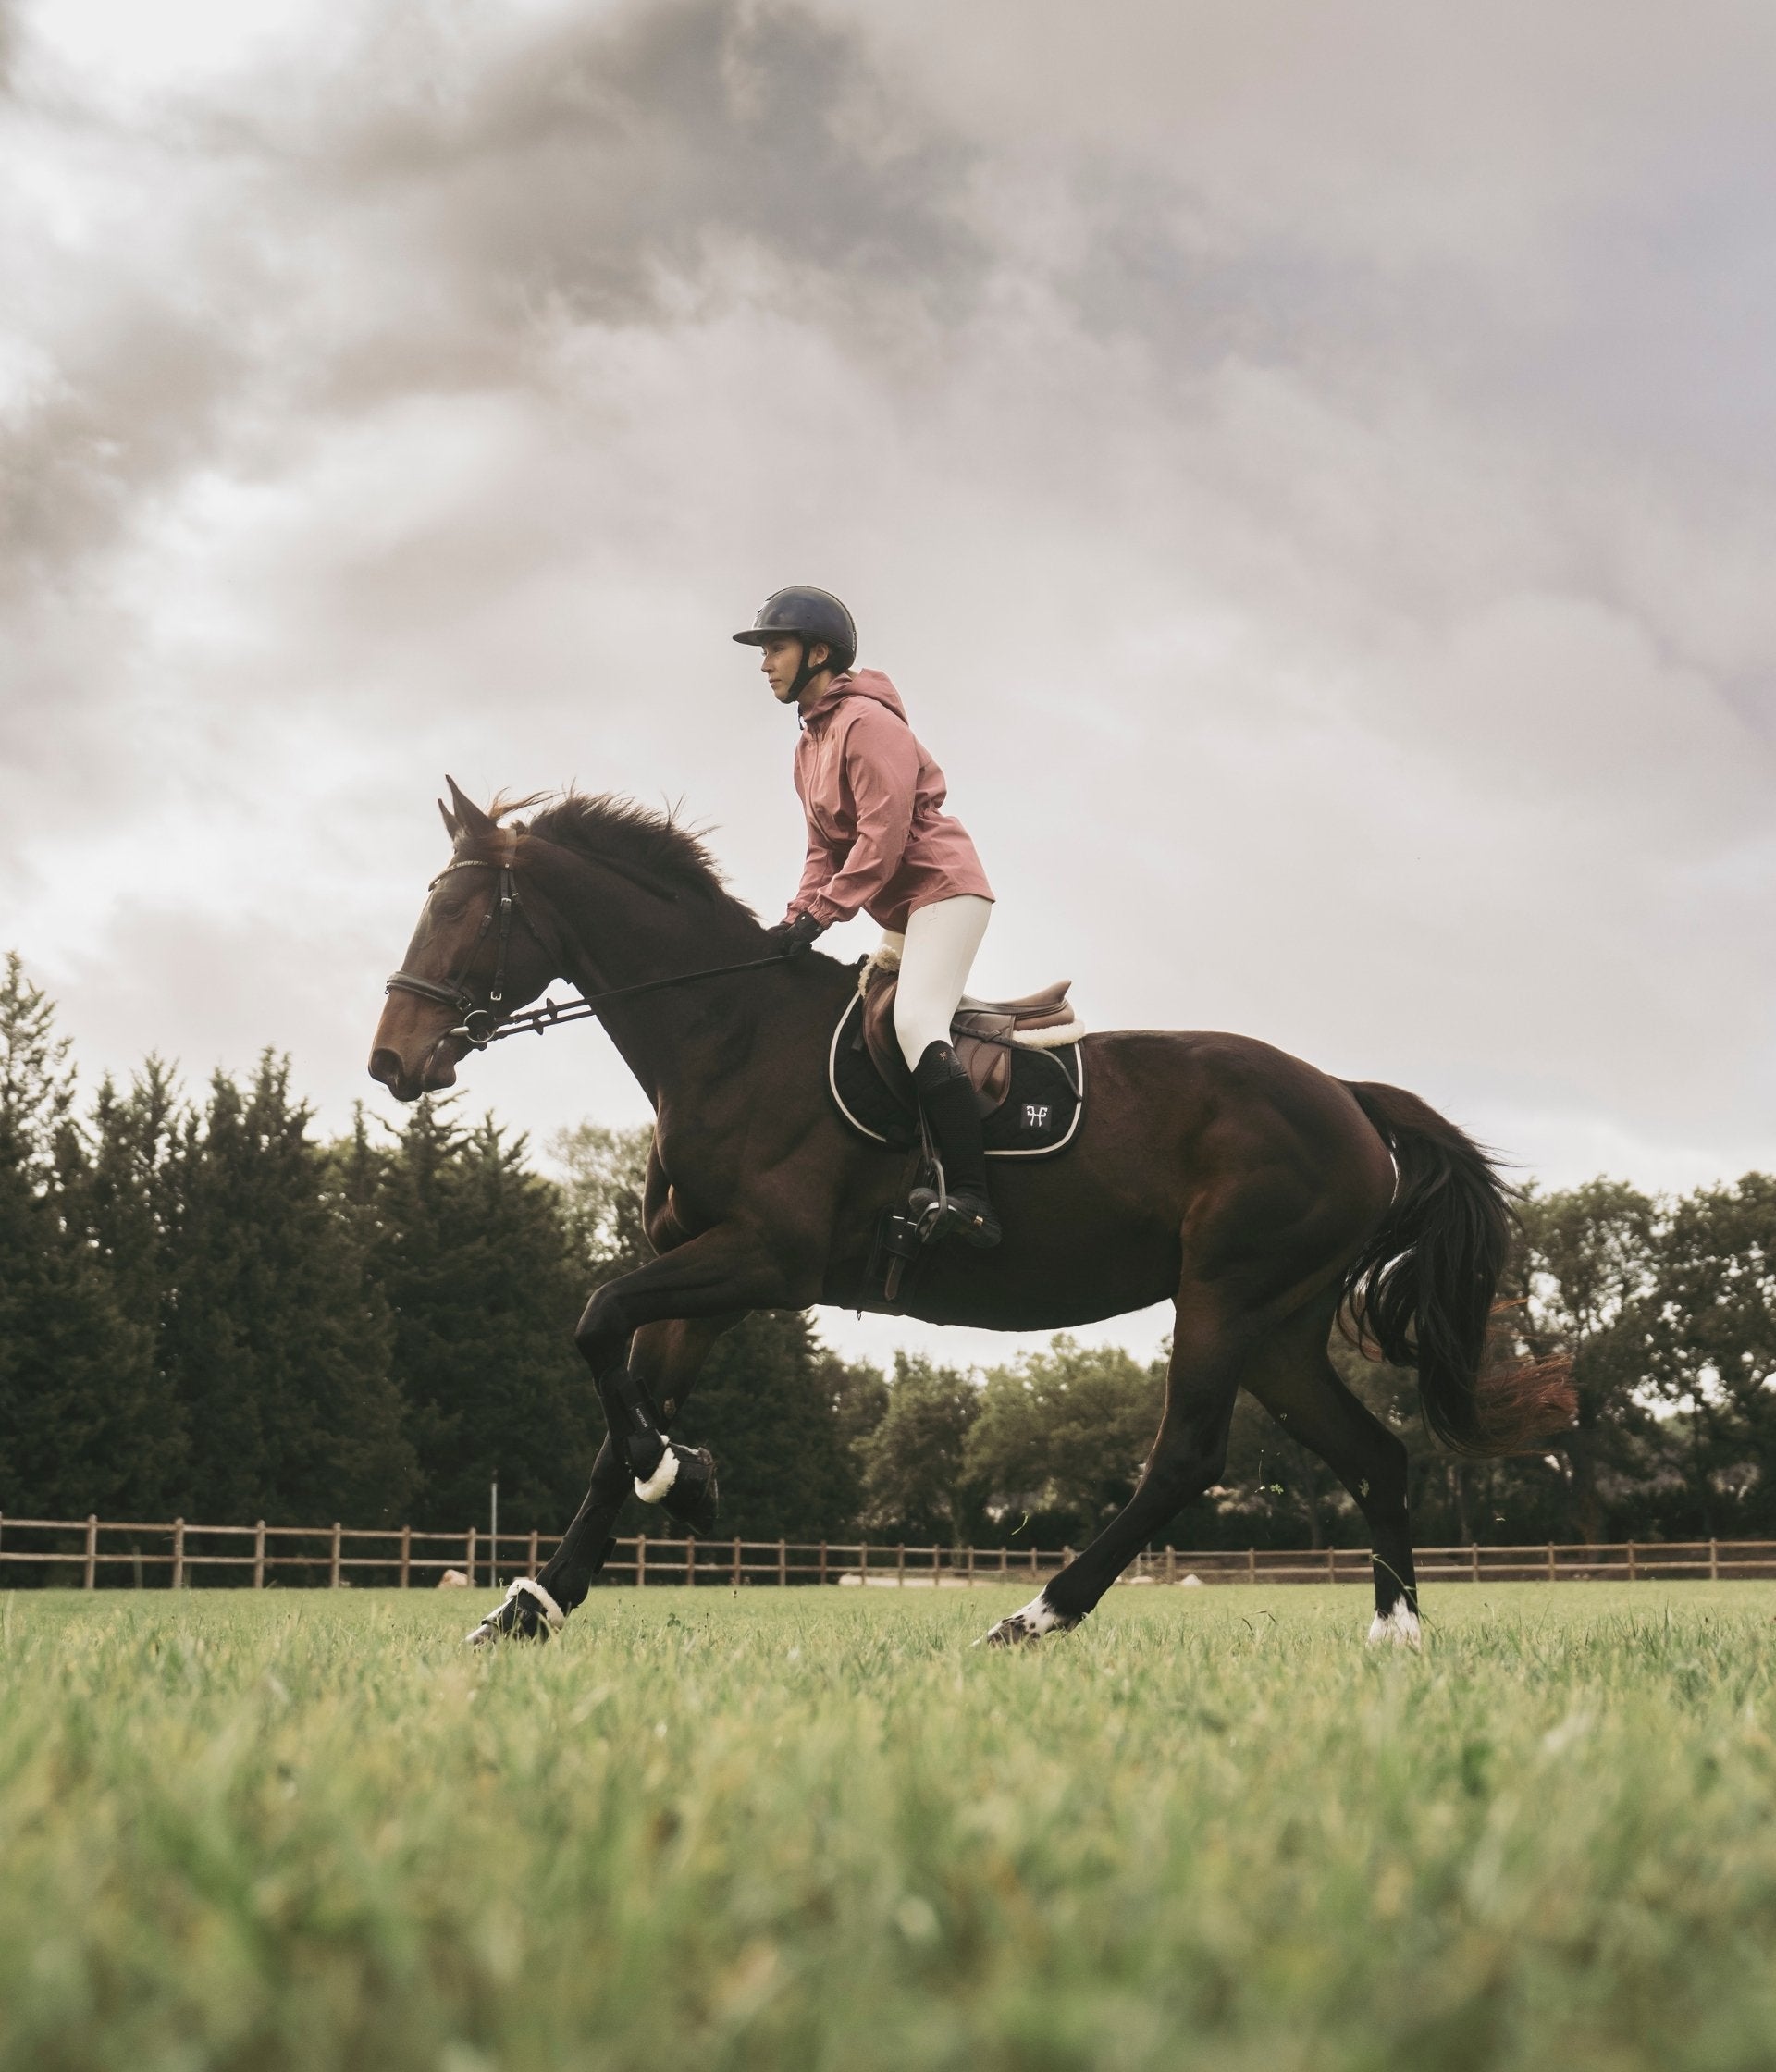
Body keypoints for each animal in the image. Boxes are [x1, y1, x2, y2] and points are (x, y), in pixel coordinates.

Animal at [369, 780, 1574, 1648]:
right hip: (1281, 1323)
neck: (728, 1033)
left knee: (1186, 1457)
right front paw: (541, 1597)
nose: (391, 1062)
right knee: (1376, 1456)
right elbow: (617, 1414)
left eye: (460, 909)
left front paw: (684, 1482)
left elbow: (594, 1323)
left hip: (1225, 1295)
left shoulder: (765, 1260)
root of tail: (1347, 1097)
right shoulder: (701, 1273)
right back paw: (1395, 1632)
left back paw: (1037, 1613)